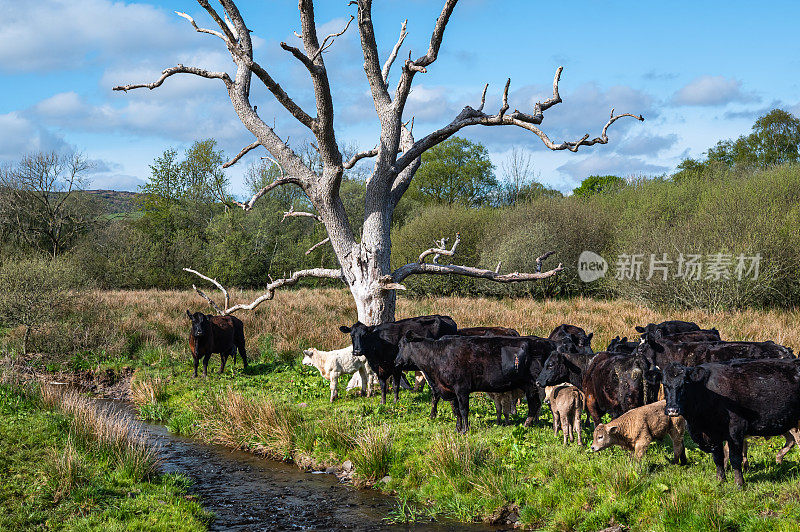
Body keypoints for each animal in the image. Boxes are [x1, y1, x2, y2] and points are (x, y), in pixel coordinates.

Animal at [396, 336, 556, 432]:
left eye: (401, 346)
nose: (396, 361)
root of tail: (546, 342)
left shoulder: (461, 389)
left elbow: (463, 410)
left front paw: (465, 430)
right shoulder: (450, 390)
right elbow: (456, 411)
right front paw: (458, 428)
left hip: (534, 384)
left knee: (534, 404)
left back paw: (527, 424)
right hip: (529, 385)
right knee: (535, 404)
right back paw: (532, 423)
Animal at [664, 358, 800, 486]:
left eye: (684, 384)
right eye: (664, 384)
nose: (672, 410)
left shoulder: (736, 430)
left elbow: (735, 458)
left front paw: (739, 483)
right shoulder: (713, 435)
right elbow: (718, 458)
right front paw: (721, 481)